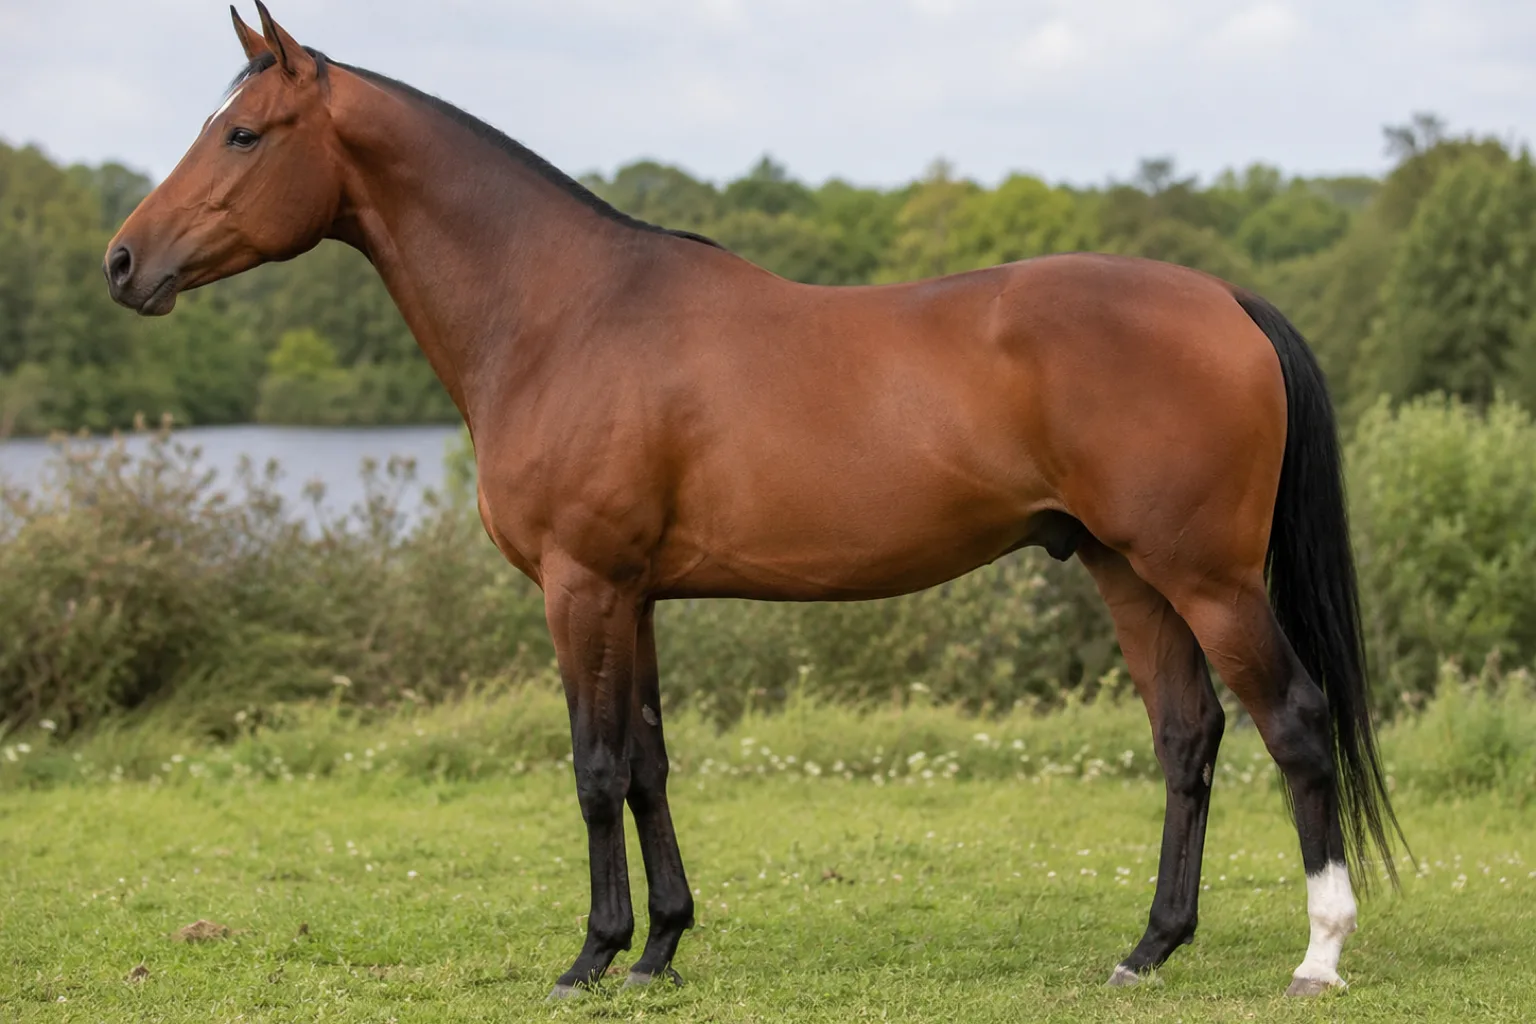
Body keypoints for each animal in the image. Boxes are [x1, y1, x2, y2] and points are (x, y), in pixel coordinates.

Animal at [105, 3, 1406, 1001]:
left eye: (243, 132)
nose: (123, 263)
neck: (562, 311)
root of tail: (1225, 298)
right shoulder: (634, 595)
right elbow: (647, 762)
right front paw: (660, 950)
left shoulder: (581, 585)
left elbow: (593, 767)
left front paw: (590, 957)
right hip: (1124, 569)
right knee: (1187, 737)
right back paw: (1148, 948)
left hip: (1208, 577)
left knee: (1294, 722)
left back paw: (1319, 954)